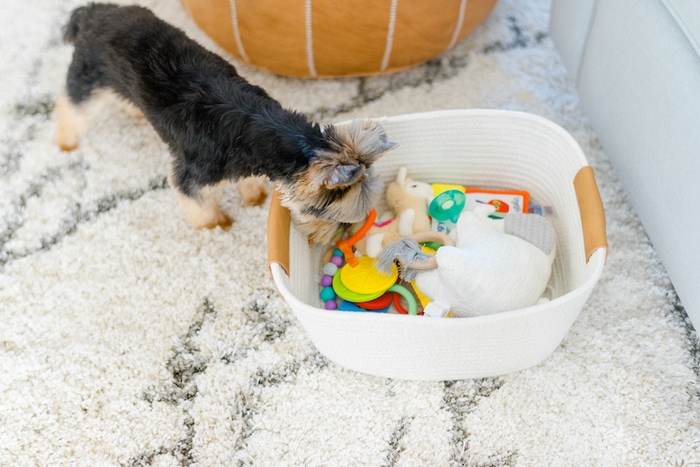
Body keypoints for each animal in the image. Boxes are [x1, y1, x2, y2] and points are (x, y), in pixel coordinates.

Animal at [56, 3, 394, 243]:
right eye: (339, 219)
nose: (344, 237)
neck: (268, 133)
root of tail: (92, 12)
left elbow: (249, 182)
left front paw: (255, 198)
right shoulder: (191, 177)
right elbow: (200, 208)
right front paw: (218, 226)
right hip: (88, 78)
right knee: (70, 108)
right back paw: (66, 142)